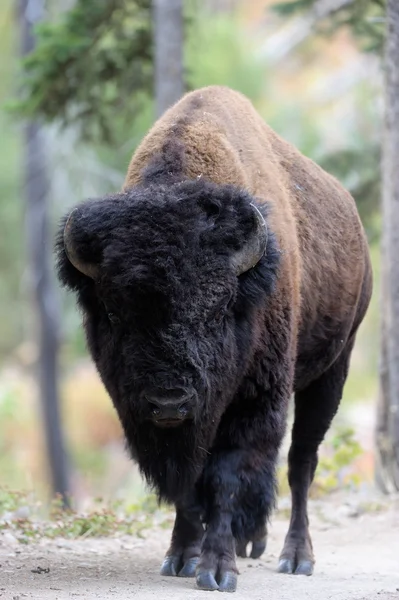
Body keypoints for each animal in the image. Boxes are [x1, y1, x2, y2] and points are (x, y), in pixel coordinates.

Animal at [56, 84, 372, 592]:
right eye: (113, 310)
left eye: (219, 306)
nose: (168, 401)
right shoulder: (163, 422)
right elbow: (189, 484)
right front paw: (182, 557)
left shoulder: (253, 401)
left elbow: (227, 475)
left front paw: (217, 570)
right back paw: (252, 543)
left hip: (333, 371)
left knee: (301, 462)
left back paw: (296, 557)